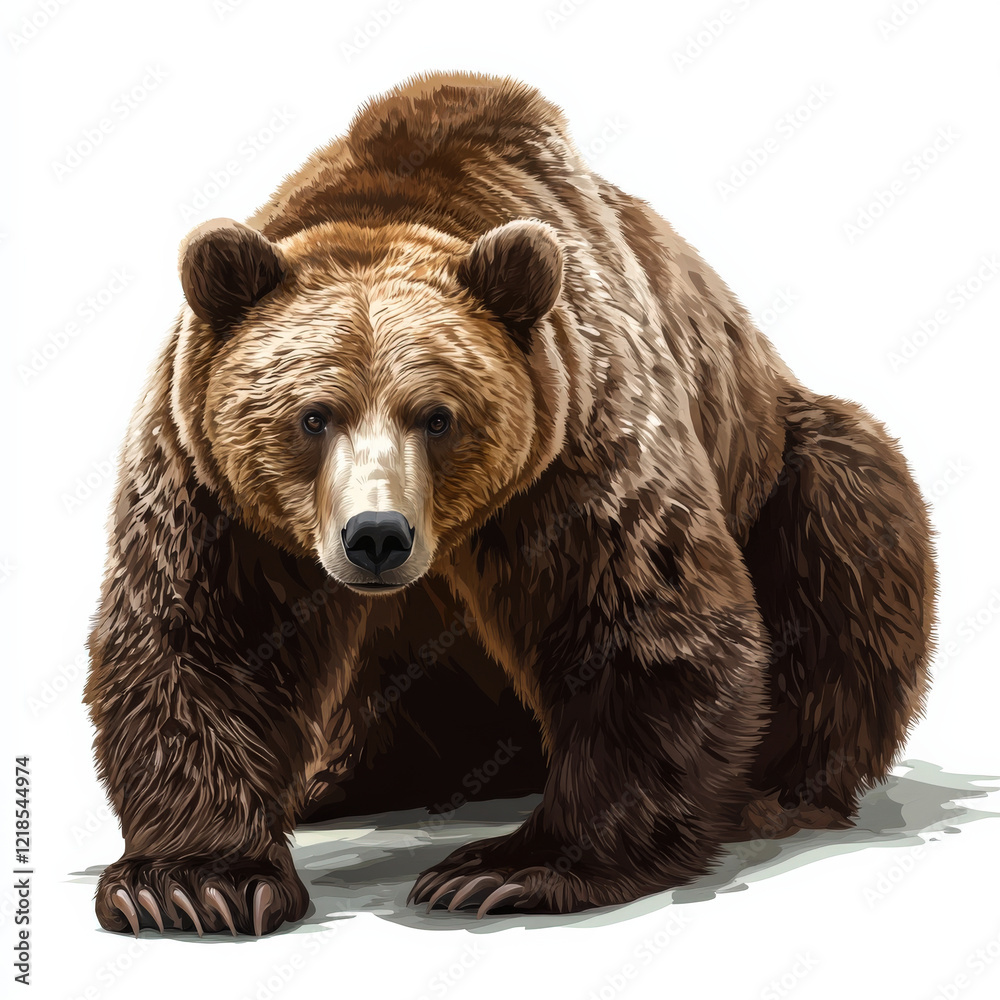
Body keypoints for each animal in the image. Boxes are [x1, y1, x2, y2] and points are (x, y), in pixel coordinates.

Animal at [84, 71, 936, 936]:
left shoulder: (575, 441)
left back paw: (775, 791)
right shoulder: (212, 482)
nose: (377, 536)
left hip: (785, 462)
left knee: (848, 518)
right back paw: (336, 779)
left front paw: (504, 869)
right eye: (313, 416)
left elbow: (641, 627)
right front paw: (192, 883)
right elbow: (207, 641)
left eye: (437, 416)